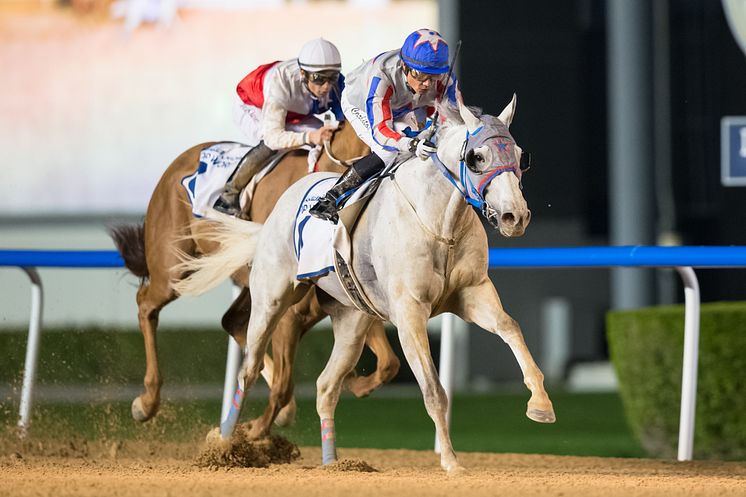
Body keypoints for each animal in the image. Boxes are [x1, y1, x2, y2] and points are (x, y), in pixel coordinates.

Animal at [108, 120, 398, 438]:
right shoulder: (293, 313)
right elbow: (284, 382)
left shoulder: (348, 302)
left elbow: (389, 363)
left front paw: (354, 383)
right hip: (172, 267)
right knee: (146, 304)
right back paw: (146, 401)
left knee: (232, 322)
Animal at [174, 94, 552, 472]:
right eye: (477, 157)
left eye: (520, 155)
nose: (515, 216)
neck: (438, 225)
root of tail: (278, 208)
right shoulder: (410, 313)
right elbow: (433, 389)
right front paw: (450, 461)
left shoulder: (472, 293)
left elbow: (510, 327)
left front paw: (541, 404)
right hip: (272, 299)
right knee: (249, 369)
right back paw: (224, 444)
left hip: (351, 319)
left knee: (326, 386)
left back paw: (333, 463)